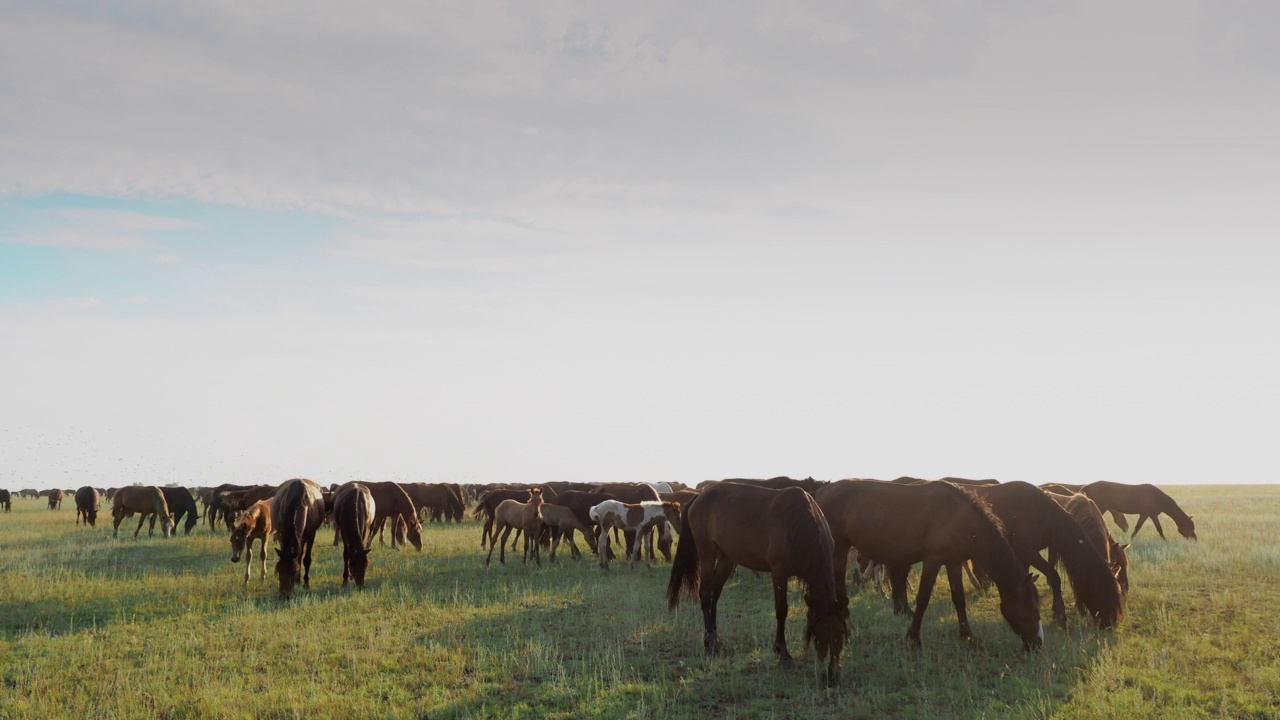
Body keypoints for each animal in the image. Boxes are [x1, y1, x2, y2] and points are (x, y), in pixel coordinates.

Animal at [670, 479, 849, 681]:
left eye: (840, 634)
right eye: (818, 636)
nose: (831, 676)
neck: (799, 524)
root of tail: (699, 496)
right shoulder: (779, 573)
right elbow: (781, 610)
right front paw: (782, 652)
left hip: (726, 558)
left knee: (715, 593)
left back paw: (715, 637)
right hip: (707, 552)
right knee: (706, 594)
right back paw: (710, 642)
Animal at [814, 476, 1044, 650]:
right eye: (1031, 607)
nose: (1038, 643)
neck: (960, 517)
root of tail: (819, 493)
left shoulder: (953, 562)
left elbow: (959, 598)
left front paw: (967, 636)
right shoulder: (933, 560)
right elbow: (923, 598)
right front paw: (914, 638)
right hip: (839, 549)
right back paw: (848, 629)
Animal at [972, 481, 1126, 627]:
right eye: (1101, 590)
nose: (1110, 623)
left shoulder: (1025, 556)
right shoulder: (1026, 552)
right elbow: (1054, 577)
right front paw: (1059, 615)